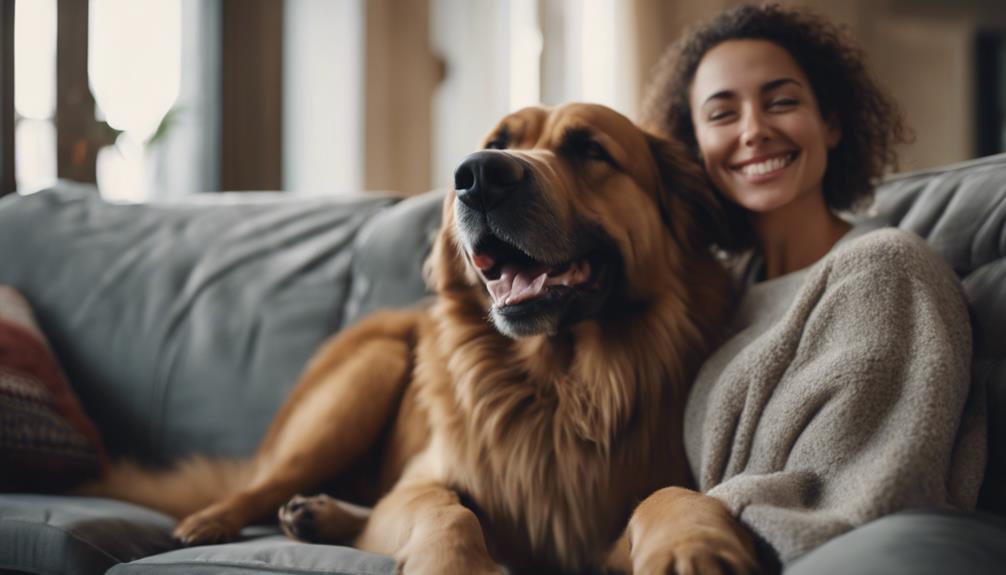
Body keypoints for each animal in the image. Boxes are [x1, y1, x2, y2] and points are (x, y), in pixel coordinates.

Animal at [90, 104, 756, 575]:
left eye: (589, 149)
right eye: (499, 142)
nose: (479, 175)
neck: (555, 383)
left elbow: (669, 493)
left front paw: (691, 543)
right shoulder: (426, 480)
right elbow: (443, 508)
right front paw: (454, 562)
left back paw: (321, 515)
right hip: (367, 376)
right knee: (265, 483)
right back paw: (218, 519)